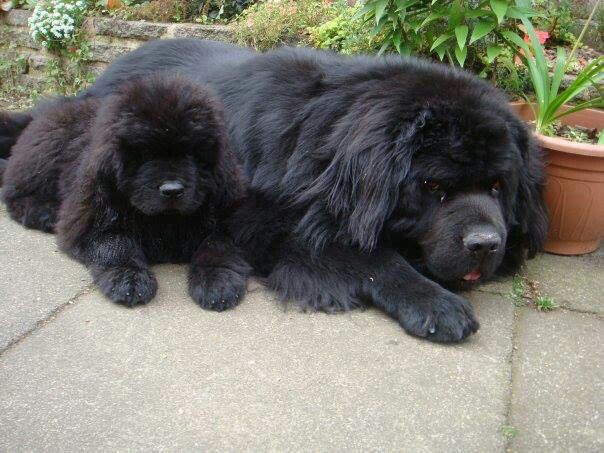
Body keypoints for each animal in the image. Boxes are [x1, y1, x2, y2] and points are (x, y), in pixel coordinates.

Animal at [0, 74, 250, 308]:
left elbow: (217, 244)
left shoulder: (227, 216)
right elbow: (115, 244)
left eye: (190, 153)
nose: (172, 190)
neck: (164, 220)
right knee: (13, 192)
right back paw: (44, 213)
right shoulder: (92, 216)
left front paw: (218, 281)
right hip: (45, 156)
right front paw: (129, 280)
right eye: (146, 153)